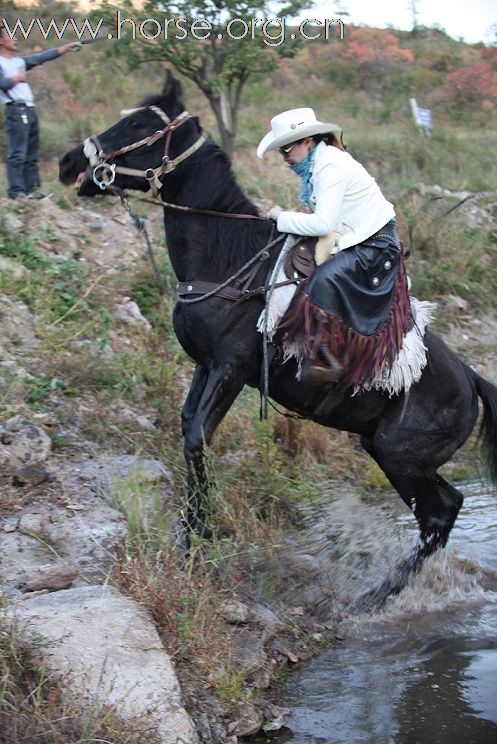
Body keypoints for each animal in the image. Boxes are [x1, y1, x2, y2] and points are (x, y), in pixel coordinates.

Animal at [59, 72, 496, 612]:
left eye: (138, 124)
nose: (70, 163)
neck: (229, 260)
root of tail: (472, 380)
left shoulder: (230, 369)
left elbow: (197, 437)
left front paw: (200, 541)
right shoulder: (206, 366)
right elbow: (189, 429)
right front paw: (194, 535)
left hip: (401, 457)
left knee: (439, 515)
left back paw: (373, 599)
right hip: (390, 452)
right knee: (445, 510)